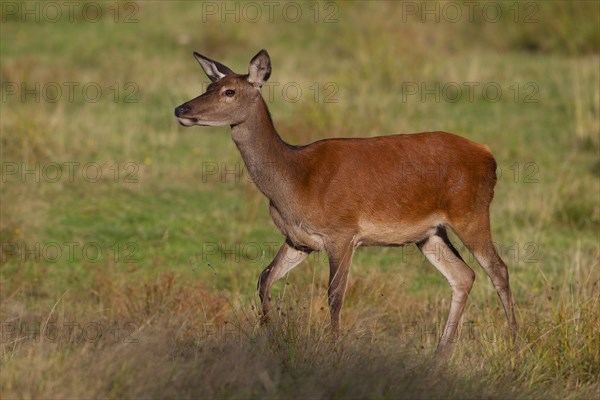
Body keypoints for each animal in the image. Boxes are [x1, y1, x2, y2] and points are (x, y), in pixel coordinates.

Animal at [173, 50, 516, 356]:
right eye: (209, 87)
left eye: (229, 91)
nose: (181, 109)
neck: (294, 181)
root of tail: (489, 156)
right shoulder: (299, 239)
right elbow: (264, 278)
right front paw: (274, 339)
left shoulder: (343, 232)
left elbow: (334, 295)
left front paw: (336, 350)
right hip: (430, 233)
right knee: (463, 275)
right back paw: (440, 353)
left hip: (471, 211)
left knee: (498, 269)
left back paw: (514, 345)